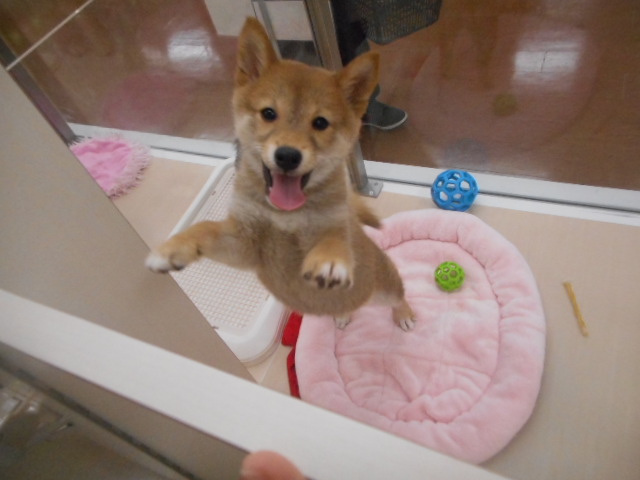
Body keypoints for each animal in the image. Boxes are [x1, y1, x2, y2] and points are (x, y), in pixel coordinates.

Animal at [146, 17, 415, 331]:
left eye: (320, 123)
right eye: (269, 113)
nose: (287, 155)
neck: (284, 217)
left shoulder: (332, 224)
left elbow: (334, 240)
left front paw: (330, 260)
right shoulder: (245, 245)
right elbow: (204, 228)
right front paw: (171, 250)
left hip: (384, 287)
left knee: (400, 295)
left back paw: (404, 314)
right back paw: (343, 314)